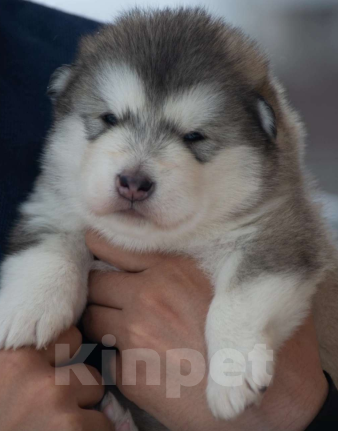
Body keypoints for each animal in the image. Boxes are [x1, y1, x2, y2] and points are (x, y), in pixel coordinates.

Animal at [0, 7, 338, 431]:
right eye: (109, 118)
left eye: (193, 137)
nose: (133, 182)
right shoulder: (51, 205)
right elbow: (51, 246)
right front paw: (27, 308)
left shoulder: (280, 234)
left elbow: (237, 302)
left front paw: (232, 373)